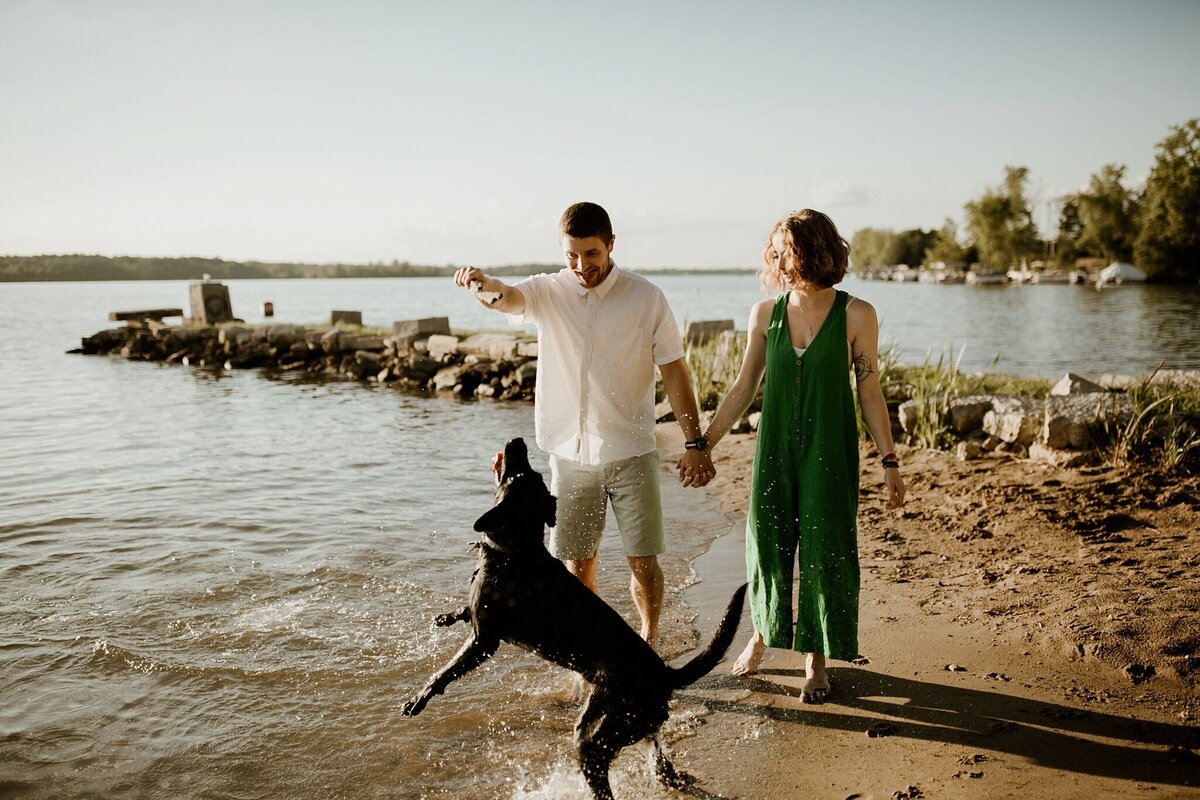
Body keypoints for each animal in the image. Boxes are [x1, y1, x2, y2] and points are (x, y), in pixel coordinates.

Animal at [400, 441, 739, 796]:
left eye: (517, 474)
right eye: (531, 473)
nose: (518, 441)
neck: (516, 549)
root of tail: (665, 674)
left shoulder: (484, 640)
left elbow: (444, 672)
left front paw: (419, 698)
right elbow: (463, 611)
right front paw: (447, 616)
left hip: (597, 731)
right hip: (638, 723)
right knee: (658, 756)